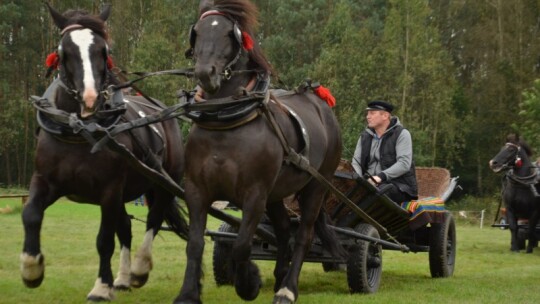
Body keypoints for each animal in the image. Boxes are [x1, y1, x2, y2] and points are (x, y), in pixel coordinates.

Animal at [21, 2, 189, 302]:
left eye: (104, 50)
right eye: (63, 51)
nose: (90, 98)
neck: (78, 129)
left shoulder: (109, 189)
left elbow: (104, 240)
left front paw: (101, 287)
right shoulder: (45, 180)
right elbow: (30, 214)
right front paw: (32, 269)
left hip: (163, 183)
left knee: (153, 220)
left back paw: (138, 270)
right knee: (126, 229)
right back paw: (122, 279)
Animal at [177, 0, 346, 304]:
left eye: (229, 35)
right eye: (198, 32)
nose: (206, 74)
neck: (225, 123)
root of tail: (320, 102)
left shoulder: (255, 194)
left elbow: (242, 244)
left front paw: (249, 283)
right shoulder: (196, 190)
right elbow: (194, 243)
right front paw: (188, 294)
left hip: (316, 185)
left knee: (303, 234)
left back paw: (287, 288)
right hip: (278, 192)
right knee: (283, 230)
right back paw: (280, 275)